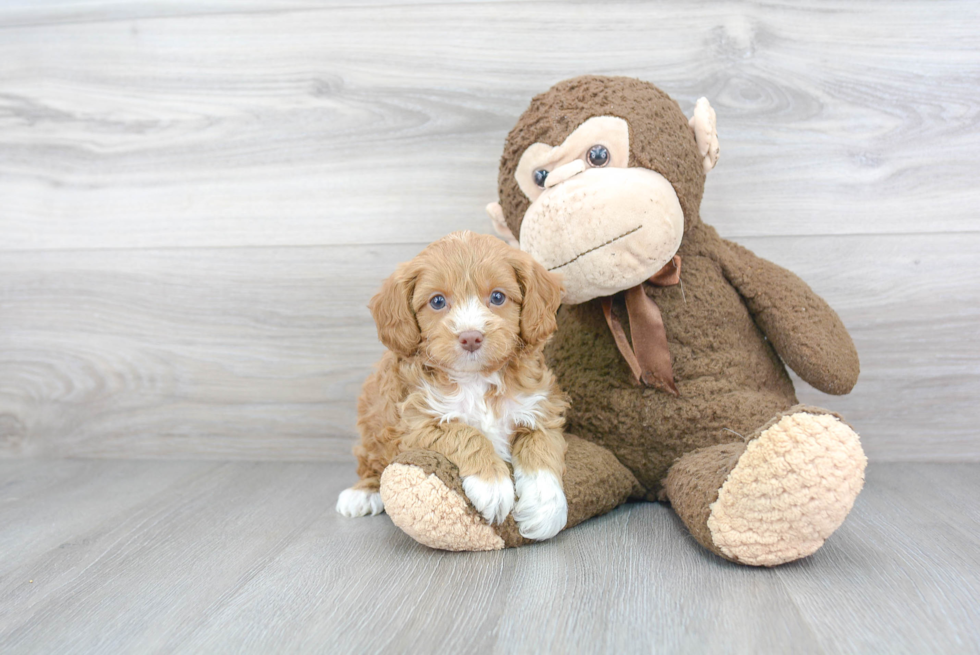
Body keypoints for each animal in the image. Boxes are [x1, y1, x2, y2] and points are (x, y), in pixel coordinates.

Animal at [336, 233, 568, 540]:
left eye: (497, 297)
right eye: (437, 301)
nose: (470, 337)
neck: (476, 379)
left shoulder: (539, 409)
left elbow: (542, 447)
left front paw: (545, 508)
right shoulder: (415, 426)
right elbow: (465, 433)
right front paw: (492, 484)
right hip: (373, 424)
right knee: (370, 463)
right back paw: (361, 493)